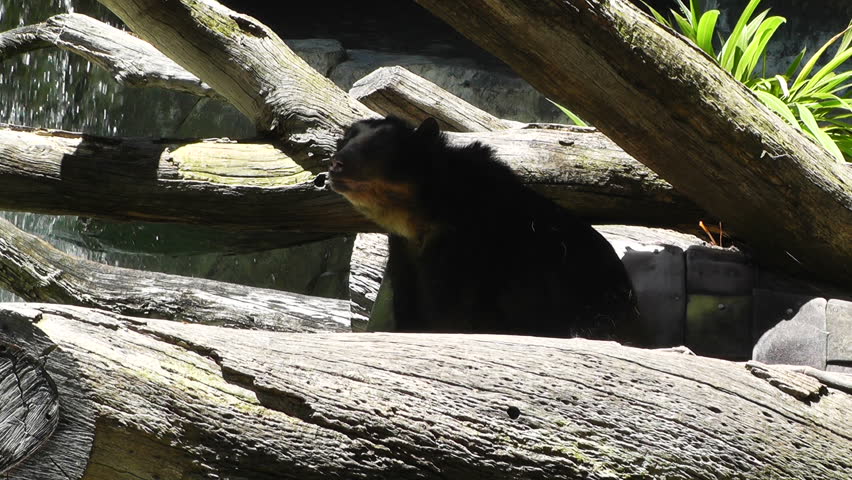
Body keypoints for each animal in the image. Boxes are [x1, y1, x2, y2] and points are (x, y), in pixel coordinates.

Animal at [327, 116, 638, 339]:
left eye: (378, 148)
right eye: (343, 141)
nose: (336, 164)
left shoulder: (467, 243)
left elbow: (450, 309)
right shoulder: (405, 249)